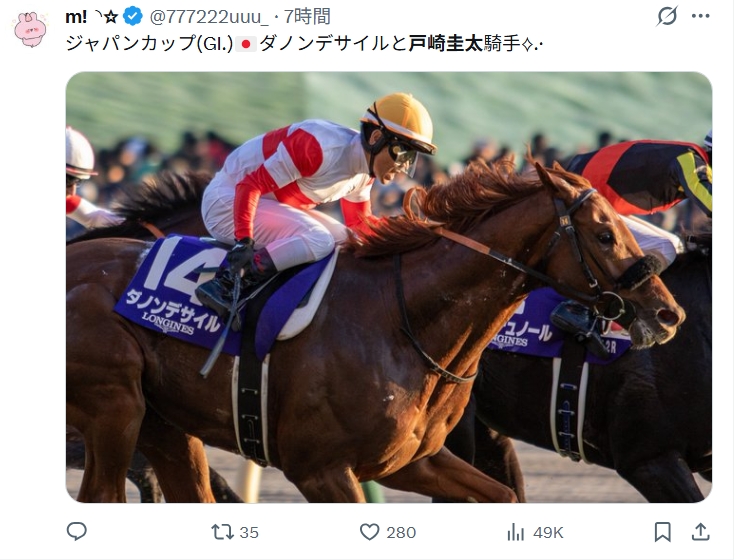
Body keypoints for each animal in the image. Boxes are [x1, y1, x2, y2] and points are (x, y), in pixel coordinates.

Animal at [66, 160, 685, 503]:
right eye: (604, 234)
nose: (667, 314)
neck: (401, 324)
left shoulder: (413, 461)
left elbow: (503, 495)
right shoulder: (320, 471)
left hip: (166, 426)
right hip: (115, 406)